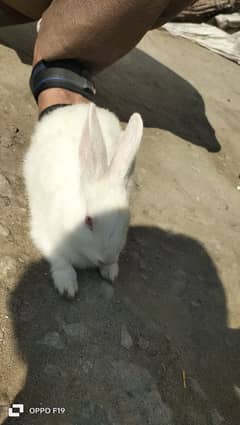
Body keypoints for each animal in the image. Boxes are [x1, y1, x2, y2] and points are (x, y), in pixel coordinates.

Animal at [24, 102, 142, 298]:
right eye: (88, 220)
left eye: (127, 221)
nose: (106, 258)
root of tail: (77, 106)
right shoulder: (45, 235)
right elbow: (61, 261)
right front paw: (67, 287)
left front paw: (110, 272)